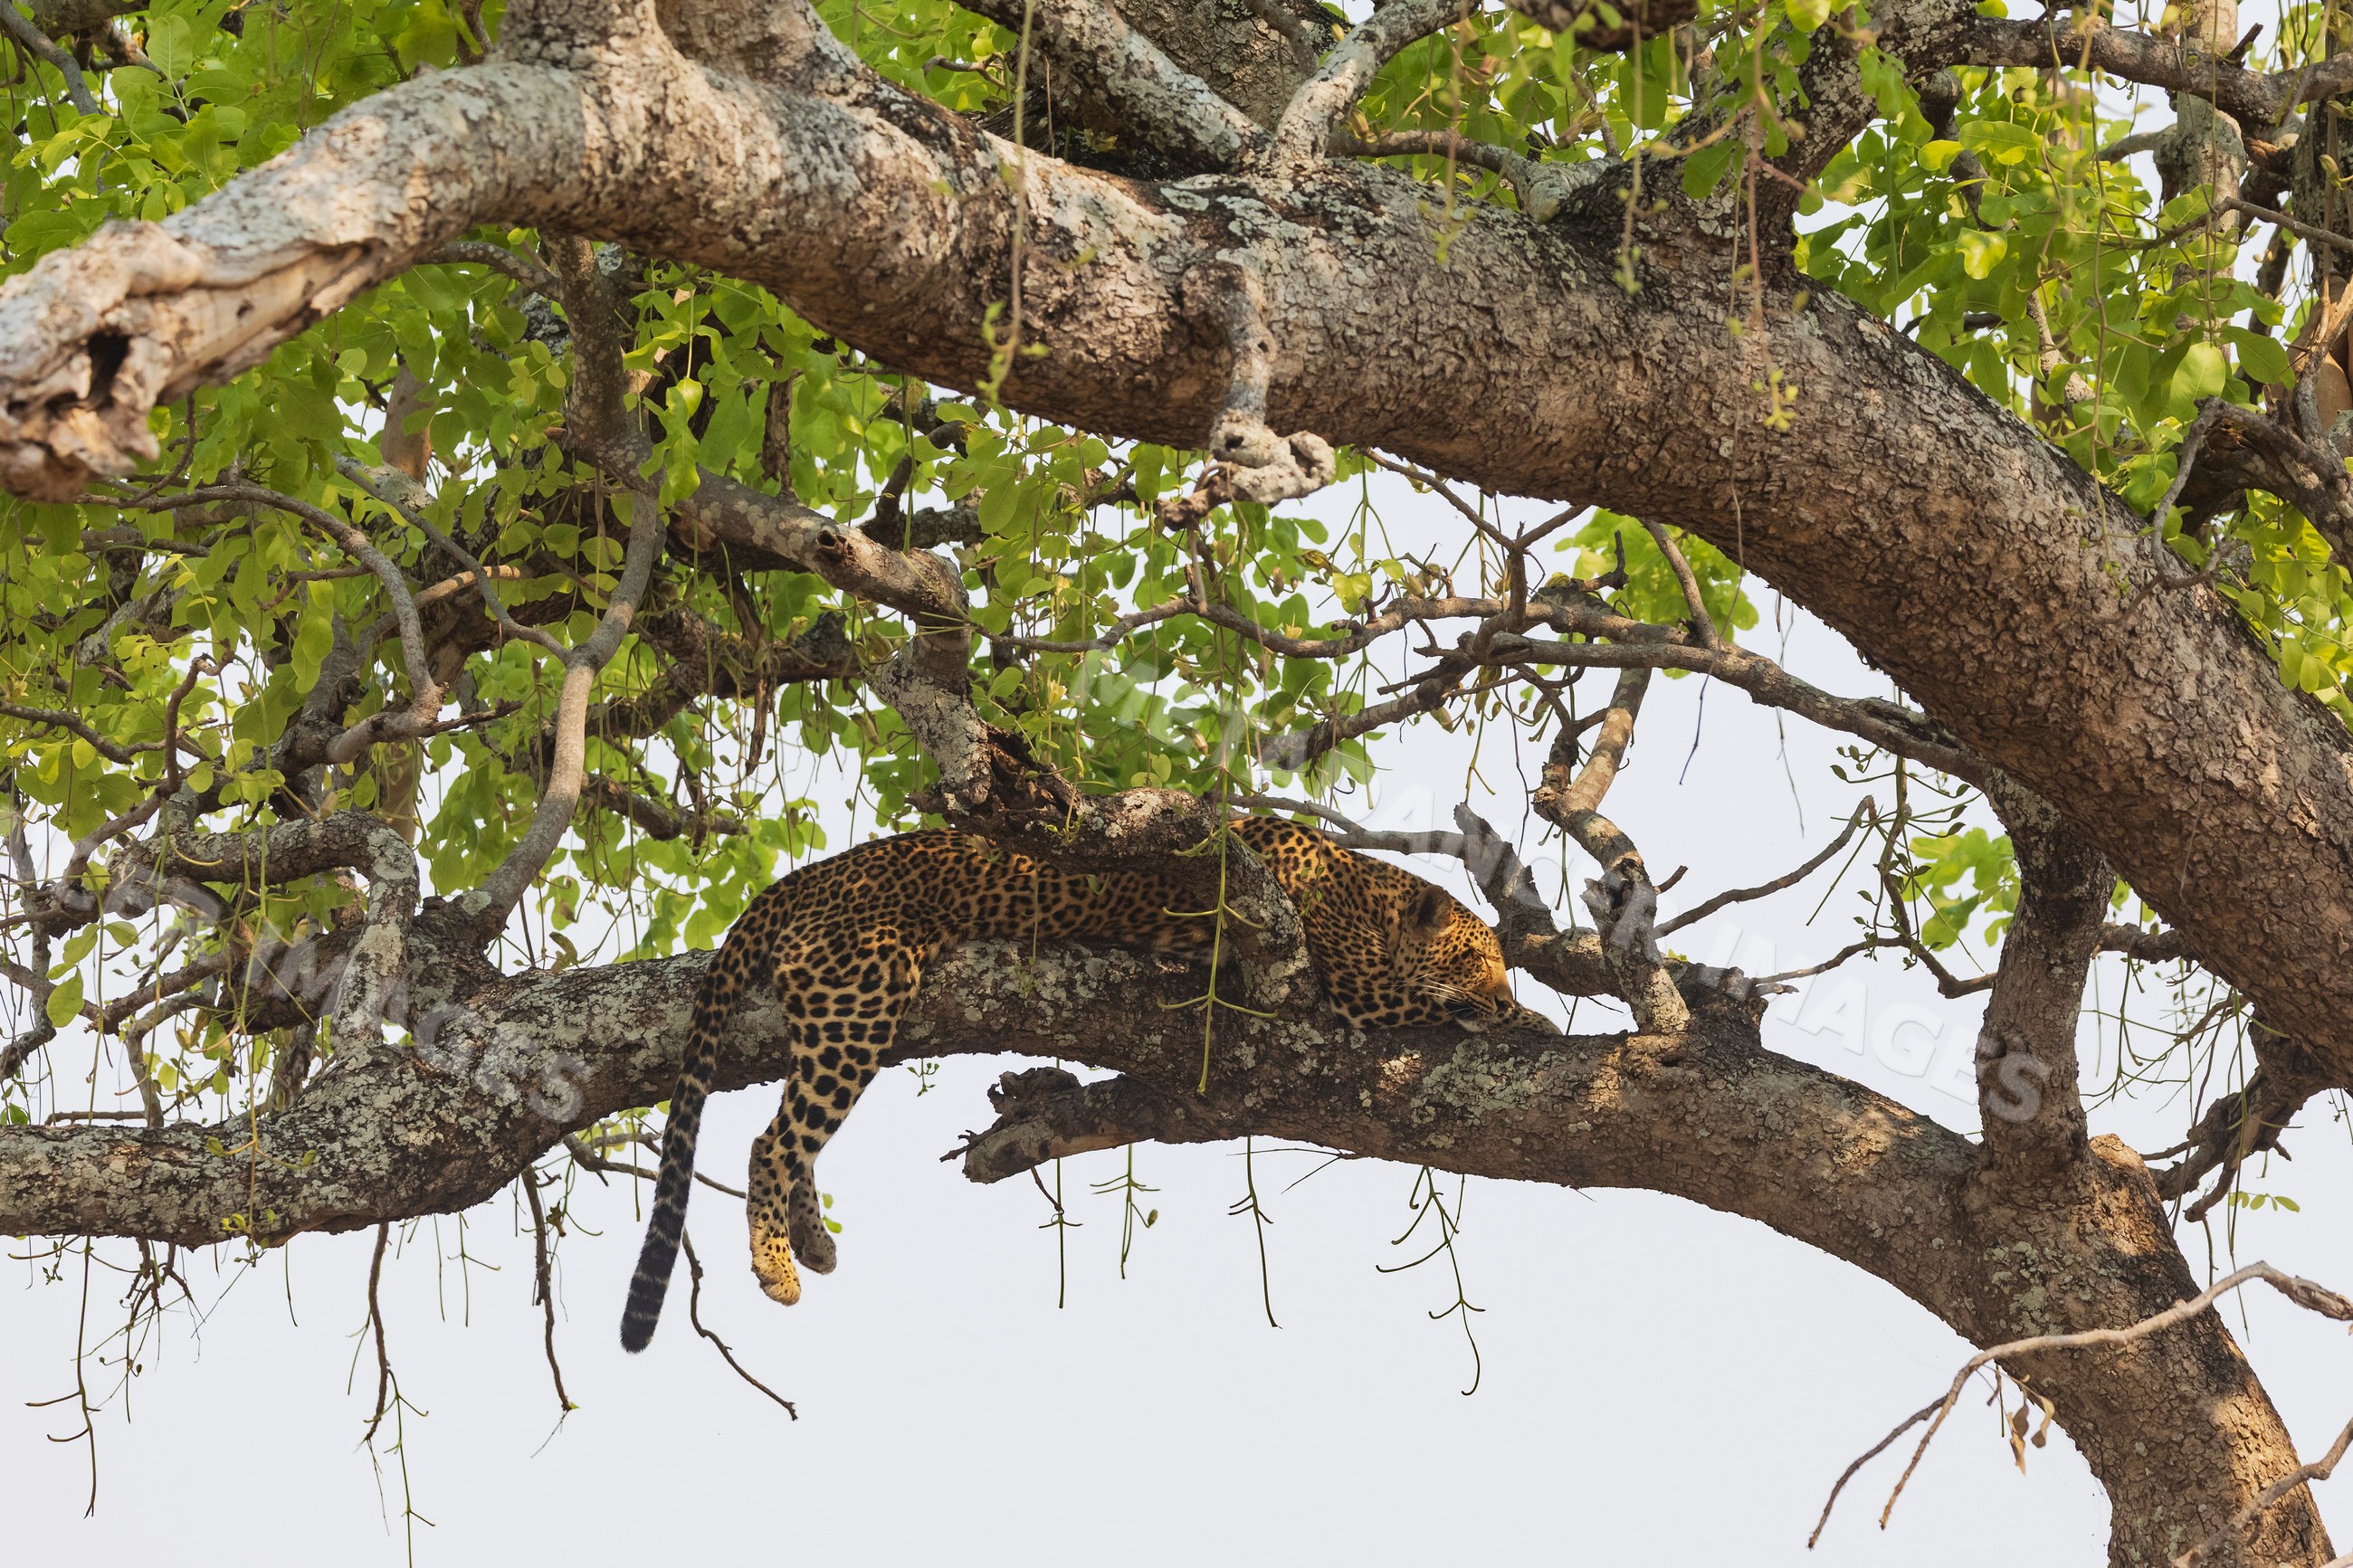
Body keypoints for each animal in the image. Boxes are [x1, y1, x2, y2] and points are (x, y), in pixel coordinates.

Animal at [617, 815, 1551, 1352]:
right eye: (1474, 958)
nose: (1502, 988)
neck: (1363, 891)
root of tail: (799, 878)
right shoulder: (1345, 983)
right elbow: (1431, 1005)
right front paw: (1532, 1019)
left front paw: (1526, 1013)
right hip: (861, 994)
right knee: (771, 1140)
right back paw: (777, 1264)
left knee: (793, 1134)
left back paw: (812, 1240)